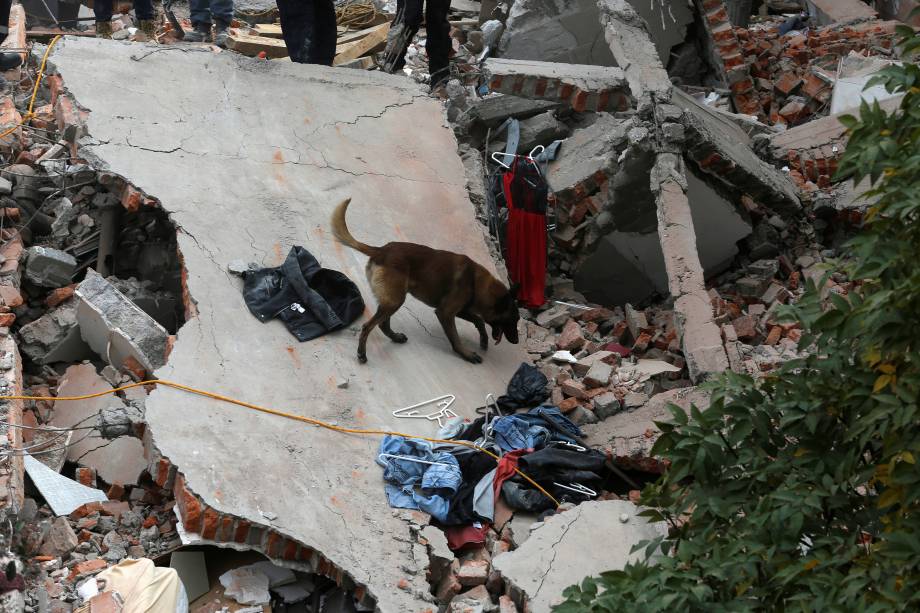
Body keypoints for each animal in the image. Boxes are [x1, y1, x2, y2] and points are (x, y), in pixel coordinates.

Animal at [332, 198, 520, 360]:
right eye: (513, 320)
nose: (517, 341)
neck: (476, 282)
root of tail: (381, 250)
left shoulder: (460, 310)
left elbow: (479, 320)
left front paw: (483, 340)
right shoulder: (445, 313)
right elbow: (456, 337)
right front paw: (465, 353)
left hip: (391, 300)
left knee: (383, 324)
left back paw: (395, 337)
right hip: (395, 300)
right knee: (368, 326)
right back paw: (362, 353)